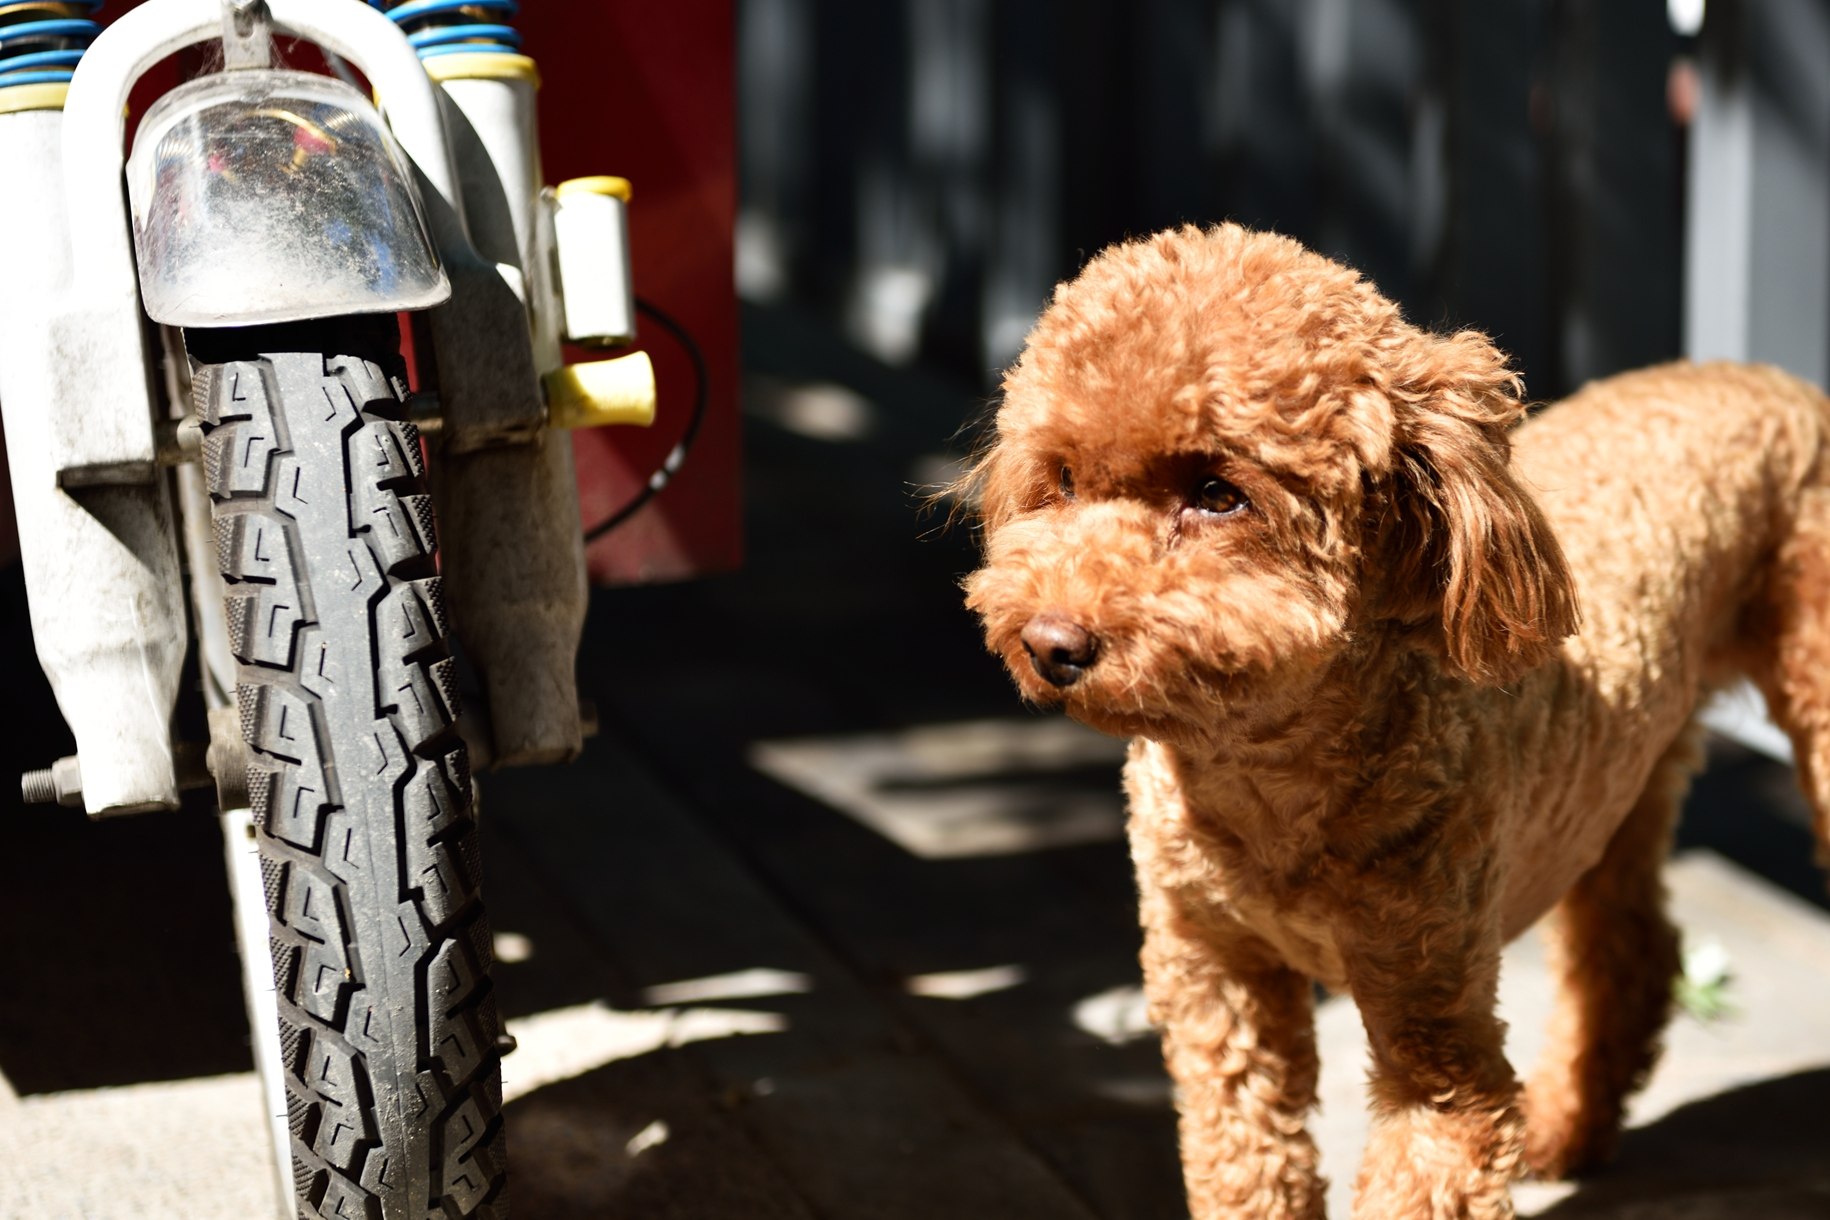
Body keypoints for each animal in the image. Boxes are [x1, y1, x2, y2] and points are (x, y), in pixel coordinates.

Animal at [966, 224, 1830, 1214]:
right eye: (1063, 479)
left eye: (1219, 493)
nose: (1052, 642)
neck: (1267, 782)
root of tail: (1771, 376)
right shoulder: (1214, 980)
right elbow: (1244, 1163)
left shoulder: (1435, 1034)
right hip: (1615, 788)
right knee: (1629, 954)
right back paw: (1565, 1127)